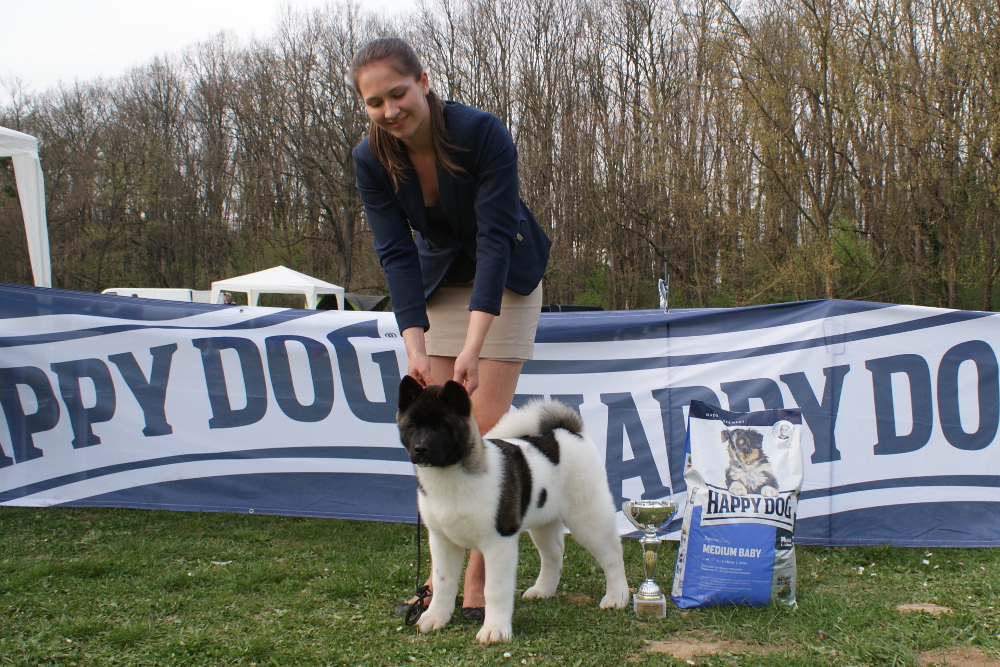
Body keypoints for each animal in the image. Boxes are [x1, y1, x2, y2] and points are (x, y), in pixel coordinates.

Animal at [396, 375, 629, 644]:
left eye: (443, 427)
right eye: (412, 426)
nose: (421, 449)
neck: (450, 477)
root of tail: (569, 432)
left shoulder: (499, 541)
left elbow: (494, 588)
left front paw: (495, 629)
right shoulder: (442, 540)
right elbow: (443, 581)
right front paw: (435, 617)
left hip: (588, 518)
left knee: (612, 554)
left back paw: (617, 597)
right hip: (543, 522)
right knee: (554, 554)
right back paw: (543, 590)